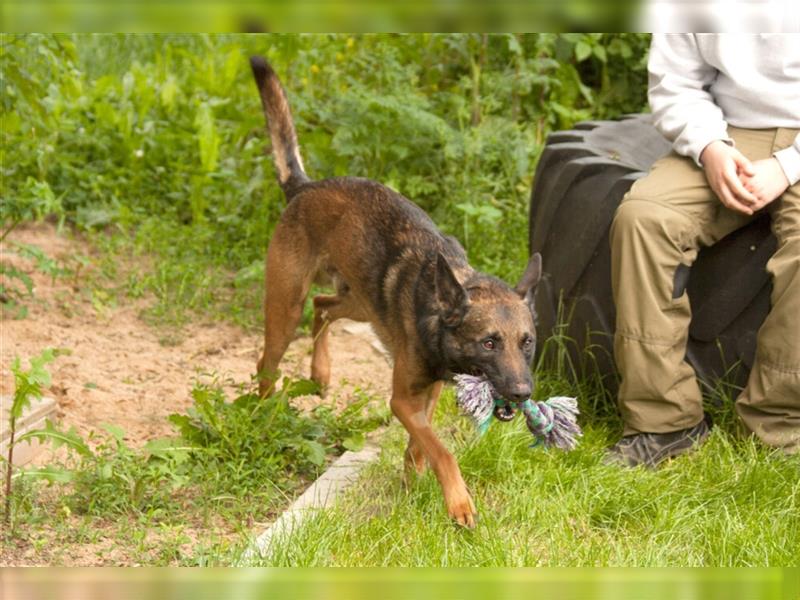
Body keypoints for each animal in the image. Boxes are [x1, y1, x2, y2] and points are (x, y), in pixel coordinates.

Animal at [250, 55, 544, 524]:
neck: (440, 313)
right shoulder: (402, 400)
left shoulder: (429, 392)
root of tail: (305, 187)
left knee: (323, 306)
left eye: (527, 342)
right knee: (268, 361)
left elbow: (421, 445)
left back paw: (320, 371)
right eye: (489, 343)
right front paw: (458, 503)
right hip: (286, 306)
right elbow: (442, 450)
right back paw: (264, 413)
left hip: (358, 302)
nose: (522, 394)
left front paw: (412, 483)